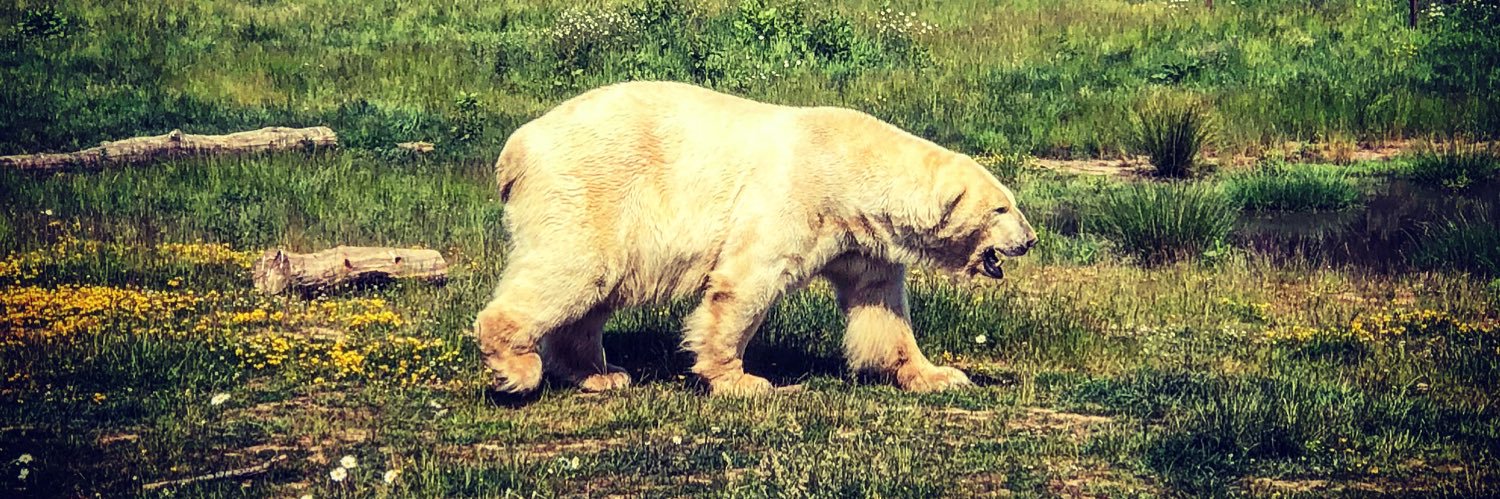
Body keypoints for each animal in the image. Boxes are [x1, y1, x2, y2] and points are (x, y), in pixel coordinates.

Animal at [475, 81, 1036, 396]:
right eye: (1001, 208)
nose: (1030, 240)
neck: (851, 172)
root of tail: (515, 150)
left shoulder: (860, 240)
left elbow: (881, 308)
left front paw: (940, 375)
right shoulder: (795, 197)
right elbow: (745, 283)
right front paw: (743, 382)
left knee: (594, 294)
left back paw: (602, 374)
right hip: (594, 190)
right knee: (573, 269)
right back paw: (516, 370)